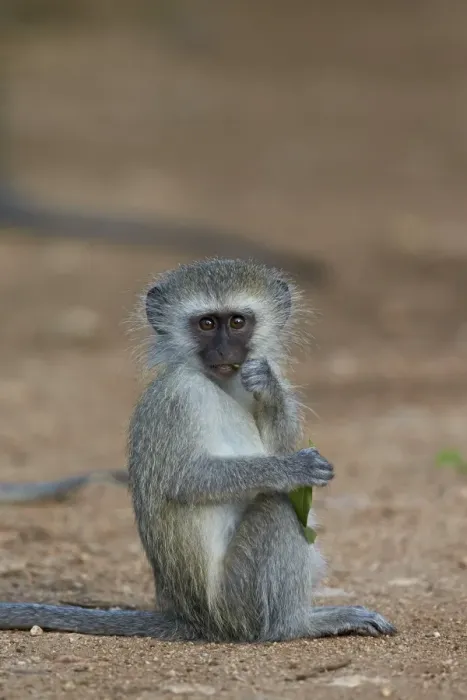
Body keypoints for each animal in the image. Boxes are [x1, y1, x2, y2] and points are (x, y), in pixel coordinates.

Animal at [0, 258, 396, 641]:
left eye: (237, 322)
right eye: (206, 324)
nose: (223, 350)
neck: (220, 383)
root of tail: (191, 619)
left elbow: (276, 437)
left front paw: (266, 385)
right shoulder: (181, 395)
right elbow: (185, 478)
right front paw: (293, 469)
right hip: (238, 601)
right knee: (280, 508)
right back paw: (296, 625)